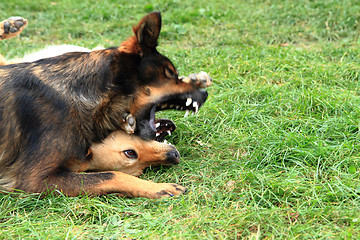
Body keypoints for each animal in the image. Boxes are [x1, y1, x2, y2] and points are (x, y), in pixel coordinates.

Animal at [0, 12, 212, 198]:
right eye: (169, 73)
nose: (205, 93)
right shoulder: (35, 178)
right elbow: (111, 175)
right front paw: (159, 188)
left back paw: (8, 26)